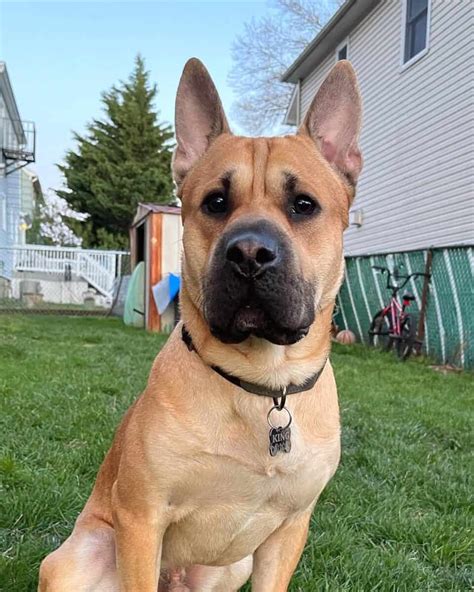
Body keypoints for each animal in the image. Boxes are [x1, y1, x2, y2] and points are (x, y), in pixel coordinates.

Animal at [39, 56, 362, 592]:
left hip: (231, 566)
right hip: (77, 557)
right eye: (215, 202)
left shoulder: (288, 532)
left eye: (304, 205)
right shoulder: (141, 518)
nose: (249, 253)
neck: (262, 382)